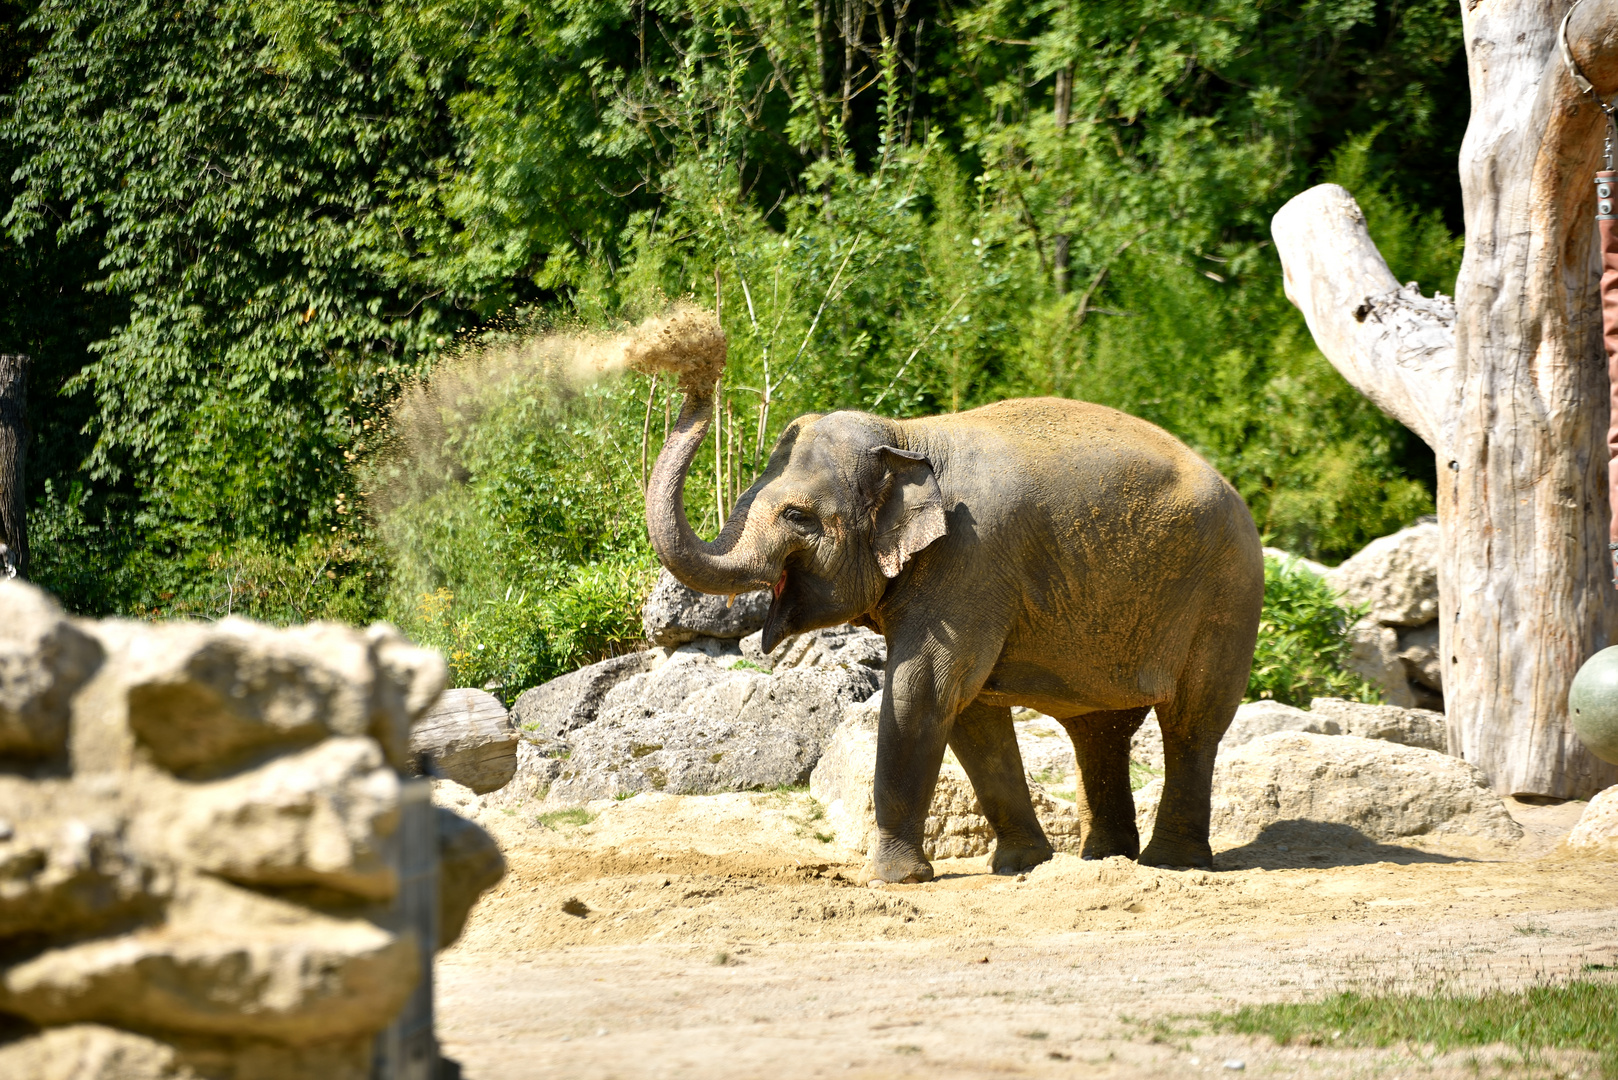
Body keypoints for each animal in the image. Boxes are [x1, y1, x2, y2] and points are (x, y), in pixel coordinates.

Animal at [640, 372, 1262, 880]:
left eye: (797, 516)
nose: (696, 364)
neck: (908, 437)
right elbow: (968, 710)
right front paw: (1020, 867)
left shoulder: (972, 560)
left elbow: (925, 689)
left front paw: (893, 880)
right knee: (1099, 731)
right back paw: (1105, 861)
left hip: (1227, 599)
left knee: (1192, 722)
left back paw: (1172, 863)